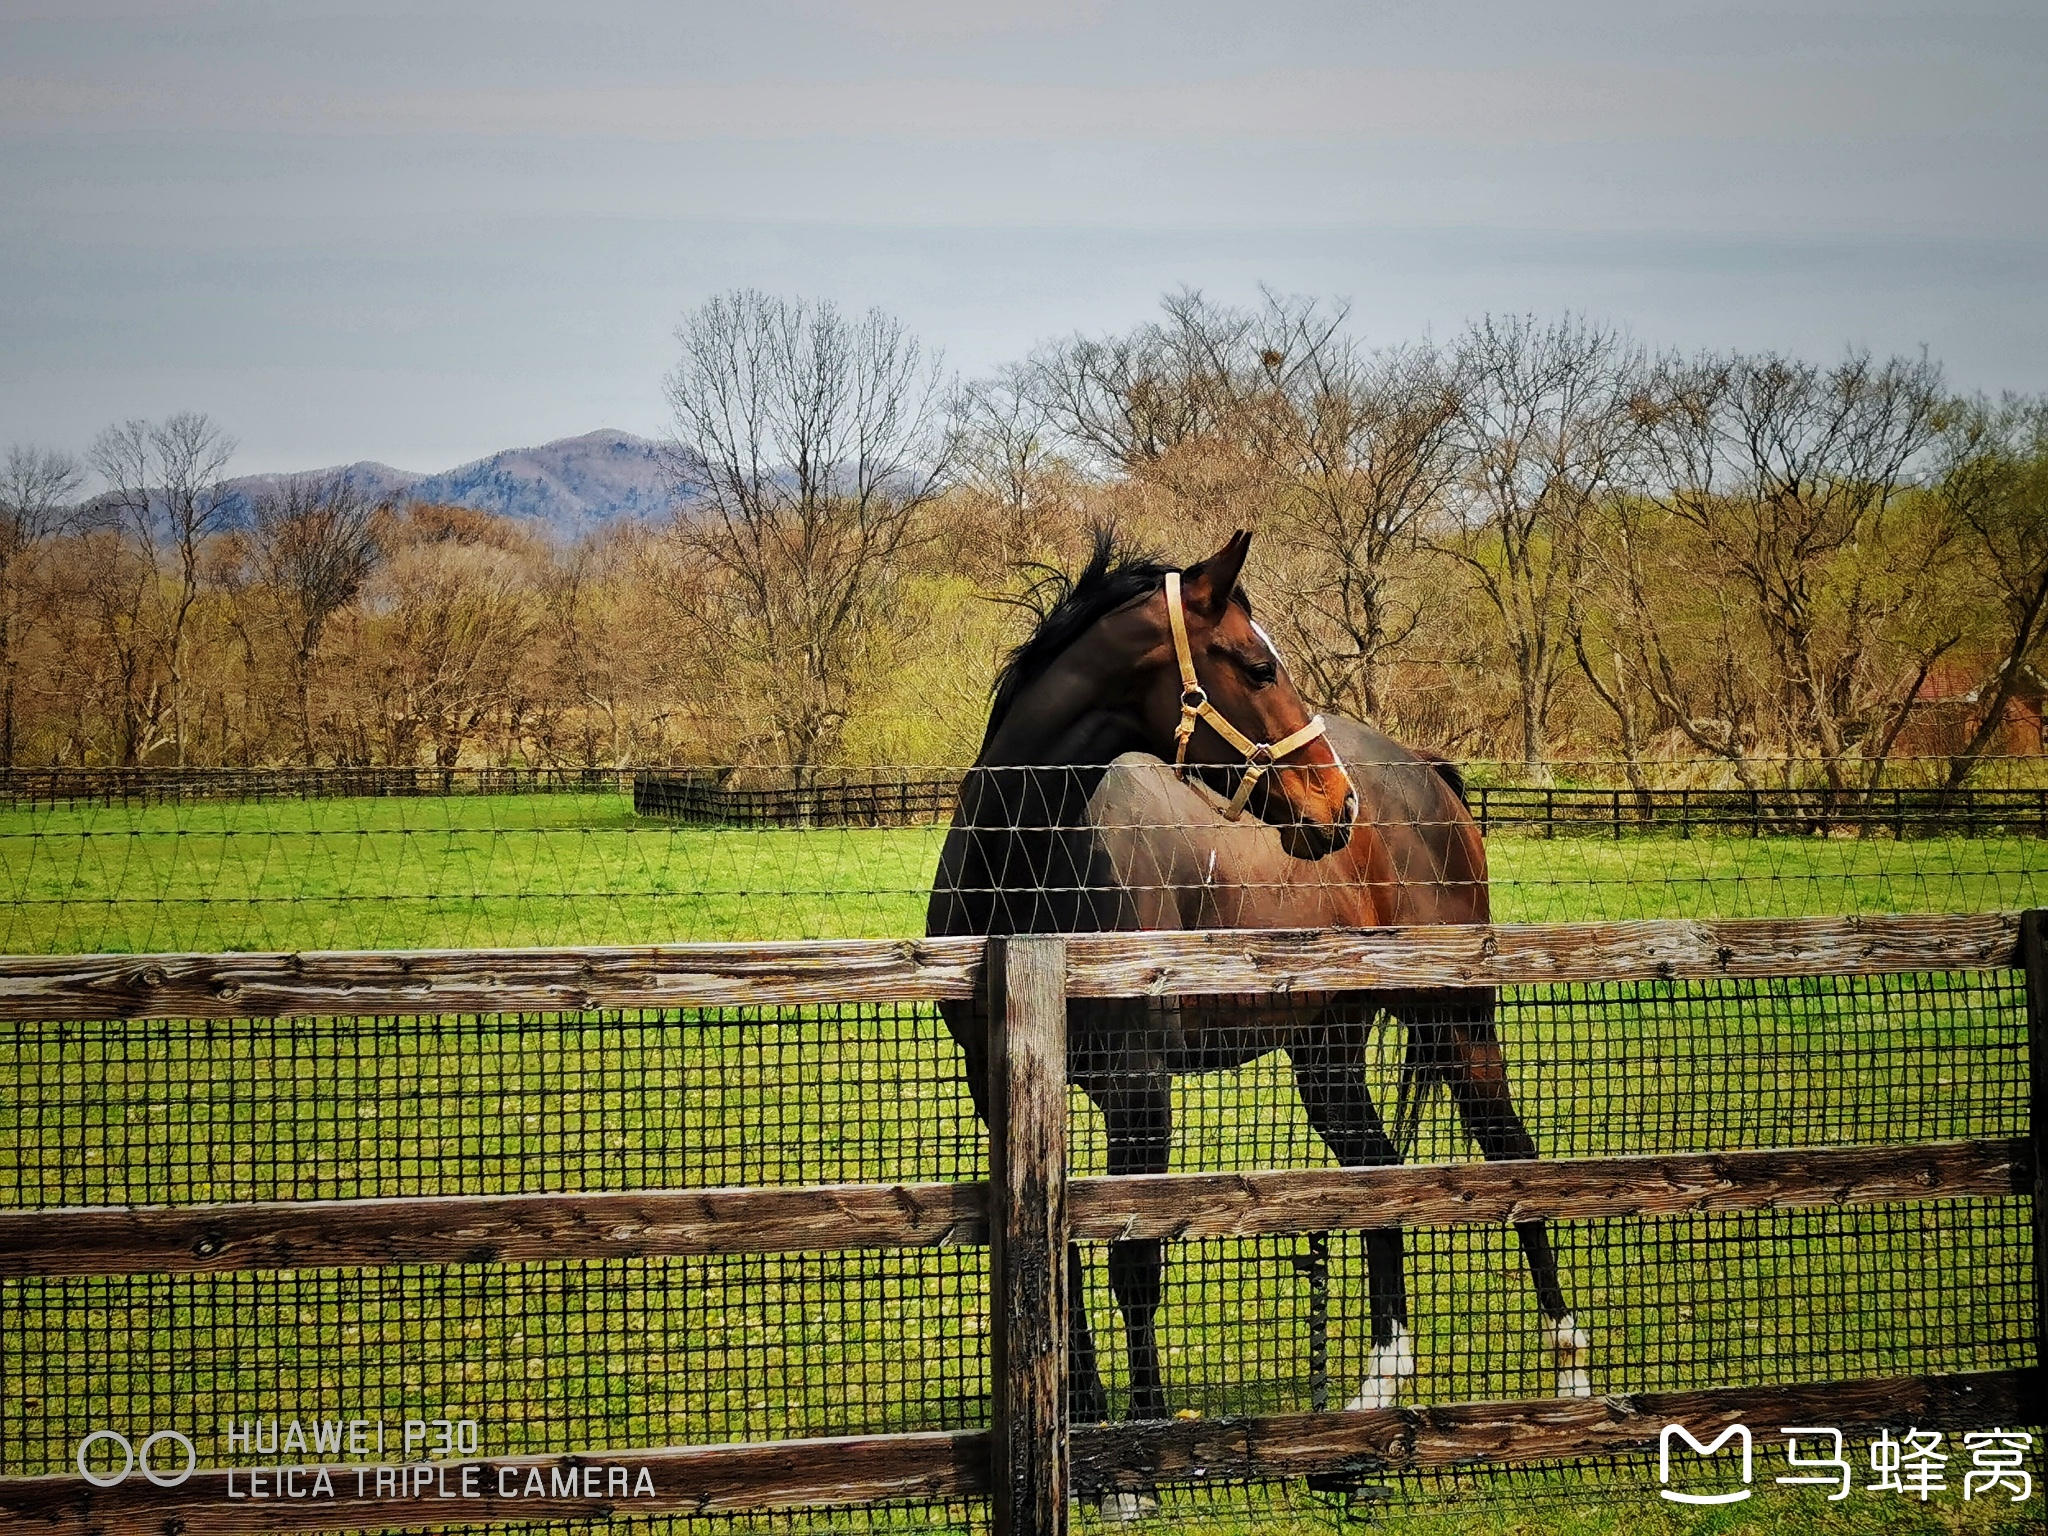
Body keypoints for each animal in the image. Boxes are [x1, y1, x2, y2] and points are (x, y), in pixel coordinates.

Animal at [925, 532, 1581, 1458]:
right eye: (1259, 665)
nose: (1336, 802)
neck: (1021, 874)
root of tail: (1425, 772)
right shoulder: (1006, 1096)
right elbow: (1061, 1258)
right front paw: (1083, 1417)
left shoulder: (1138, 1090)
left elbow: (1134, 1262)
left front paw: (1143, 1438)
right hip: (1328, 1056)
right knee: (1377, 1171)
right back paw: (1377, 1389)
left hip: (1455, 1020)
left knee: (1514, 1156)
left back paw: (1571, 1372)